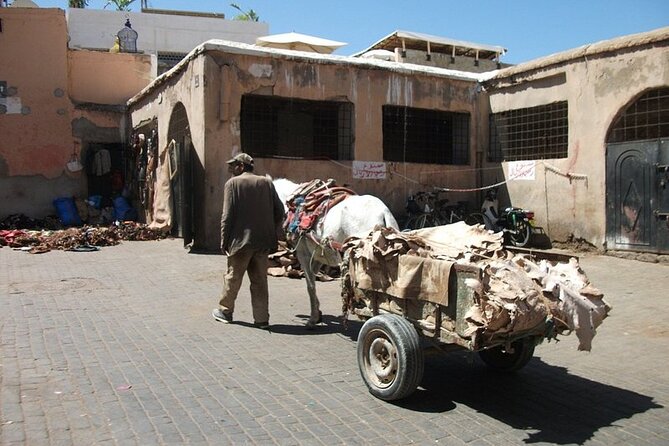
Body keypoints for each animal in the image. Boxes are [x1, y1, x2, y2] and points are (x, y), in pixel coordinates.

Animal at [272, 178, 396, 328]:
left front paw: (313, 319)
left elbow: (310, 285)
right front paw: (317, 313)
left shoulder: (304, 254)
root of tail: (383, 212)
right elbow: (313, 280)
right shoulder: (318, 255)